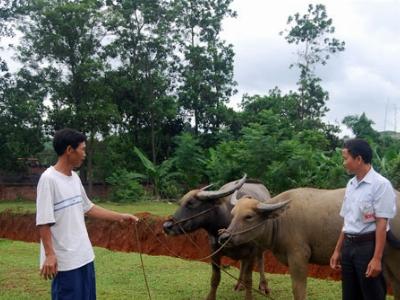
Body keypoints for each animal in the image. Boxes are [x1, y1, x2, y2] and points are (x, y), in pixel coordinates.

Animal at [219, 189, 400, 298]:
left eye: (248, 216)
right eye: (233, 214)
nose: (224, 237)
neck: (280, 221)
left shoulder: (298, 257)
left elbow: (298, 289)